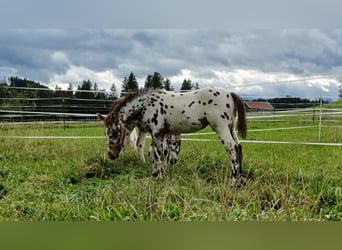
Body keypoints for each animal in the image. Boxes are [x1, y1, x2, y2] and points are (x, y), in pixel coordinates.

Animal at [96, 87, 246, 183]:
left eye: (114, 132)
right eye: (105, 133)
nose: (111, 155)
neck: (147, 104)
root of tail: (230, 93)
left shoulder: (157, 132)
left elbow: (158, 155)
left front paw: (159, 177)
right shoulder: (161, 134)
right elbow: (156, 154)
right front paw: (156, 174)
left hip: (221, 128)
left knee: (232, 148)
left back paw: (233, 181)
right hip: (231, 127)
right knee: (238, 146)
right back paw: (240, 178)